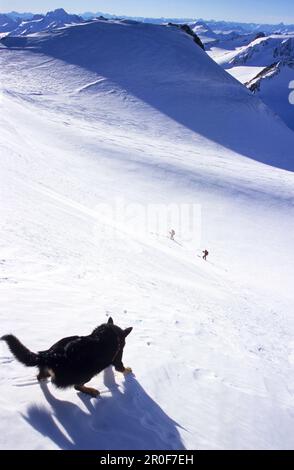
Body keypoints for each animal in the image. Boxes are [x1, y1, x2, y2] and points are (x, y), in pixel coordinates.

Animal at [1, 316, 133, 396]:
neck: (111, 331)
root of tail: (50, 355)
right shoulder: (118, 358)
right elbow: (121, 368)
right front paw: (128, 370)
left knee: (40, 376)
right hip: (86, 374)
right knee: (77, 386)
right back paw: (91, 391)